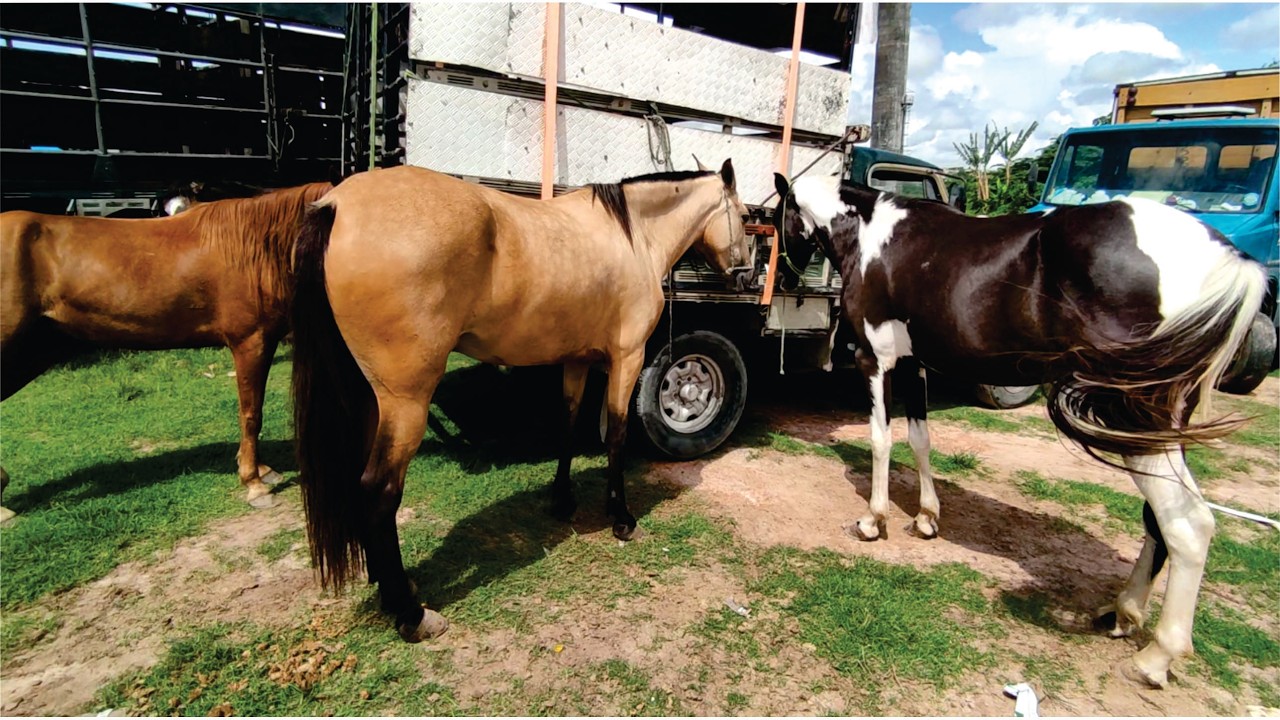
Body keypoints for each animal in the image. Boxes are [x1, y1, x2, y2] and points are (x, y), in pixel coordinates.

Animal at [290, 161, 751, 642]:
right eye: (743, 214)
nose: (745, 276)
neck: (633, 235)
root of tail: (336, 204)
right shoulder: (628, 358)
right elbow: (616, 434)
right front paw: (621, 518)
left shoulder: (577, 360)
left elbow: (568, 424)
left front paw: (562, 501)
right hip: (404, 402)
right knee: (378, 491)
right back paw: (411, 614)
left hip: (368, 398)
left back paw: (390, 586)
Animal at [770, 172, 1265, 688]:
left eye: (777, 215)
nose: (783, 278)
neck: (873, 233)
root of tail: (1228, 258)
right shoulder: (914, 363)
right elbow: (920, 440)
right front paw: (926, 516)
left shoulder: (877, 361)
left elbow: (881, 440)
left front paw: (873, 520)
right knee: (1159, 519)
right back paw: (1122, 613)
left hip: (1134, 417)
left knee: (1189, 524)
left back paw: (1156, 657)